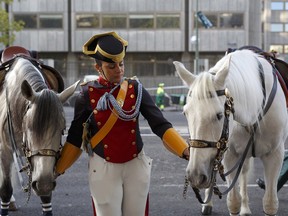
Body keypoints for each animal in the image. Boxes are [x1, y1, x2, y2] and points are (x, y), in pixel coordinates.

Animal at [173, 49, 288, 215]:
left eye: (219, 115)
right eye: (185, 113)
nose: (195, 176)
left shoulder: (275, 155)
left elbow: (270, 203)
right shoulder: (230, 154)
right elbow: (233, 201)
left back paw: (245, 208)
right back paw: (208, 203)